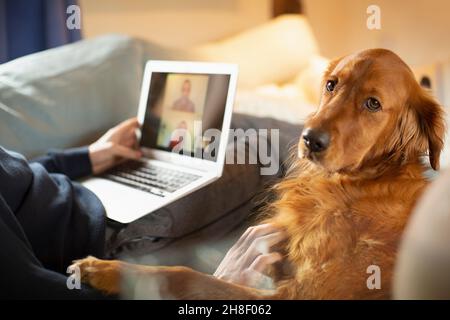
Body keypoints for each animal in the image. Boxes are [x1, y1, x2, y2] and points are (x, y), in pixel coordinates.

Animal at [72, 48, 444, 300]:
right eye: (331, 85)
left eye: (372, 104)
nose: (310, 139)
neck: (357, 185)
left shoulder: (301, 293)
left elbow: (185, 275)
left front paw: (103, 270)